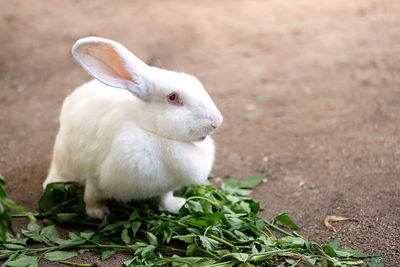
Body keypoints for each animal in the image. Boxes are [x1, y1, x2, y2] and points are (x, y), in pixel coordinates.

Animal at [46, 36, 225, 220]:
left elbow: (164, 199)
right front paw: (99, 214)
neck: (154, 133)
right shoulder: (95, 179)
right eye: (172, 97)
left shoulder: (166, 188)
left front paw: (176, 205)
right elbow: (91, 197)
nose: (217, 121)